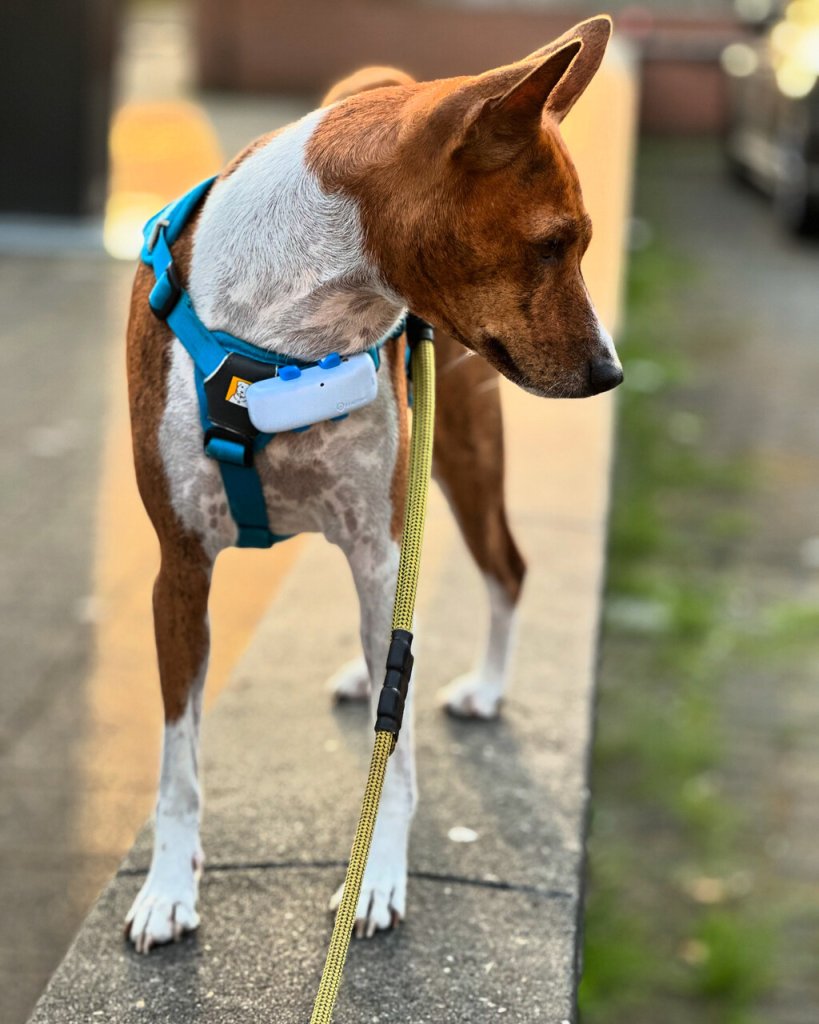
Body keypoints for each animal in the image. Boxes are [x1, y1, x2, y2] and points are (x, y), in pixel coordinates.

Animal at [123, 14, 622, 950]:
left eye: (578, 246)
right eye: (550, 244)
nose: (610, 371)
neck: (283, 335)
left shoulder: (383, 546)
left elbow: (395, 759)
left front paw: (374, 879)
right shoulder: (181, 568)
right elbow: (177, 762)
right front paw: (169, 888)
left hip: (457, 457)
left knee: (504, 571)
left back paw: (484, 689)